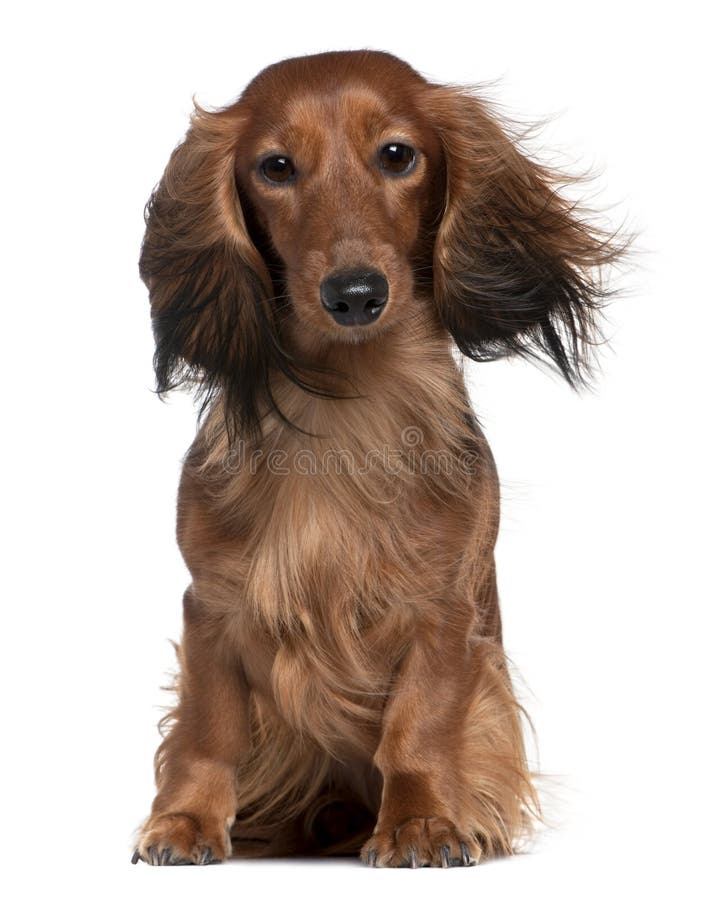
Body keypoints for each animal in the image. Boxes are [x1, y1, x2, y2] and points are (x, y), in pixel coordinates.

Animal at [131, 51, 620, 872]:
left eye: (396, 155)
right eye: (276, 166)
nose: (355, 294)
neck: (345, 405)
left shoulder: (441, 611)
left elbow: (417, 727)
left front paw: (421, 821)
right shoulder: (213, 605)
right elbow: (209, 727)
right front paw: (186, 822)